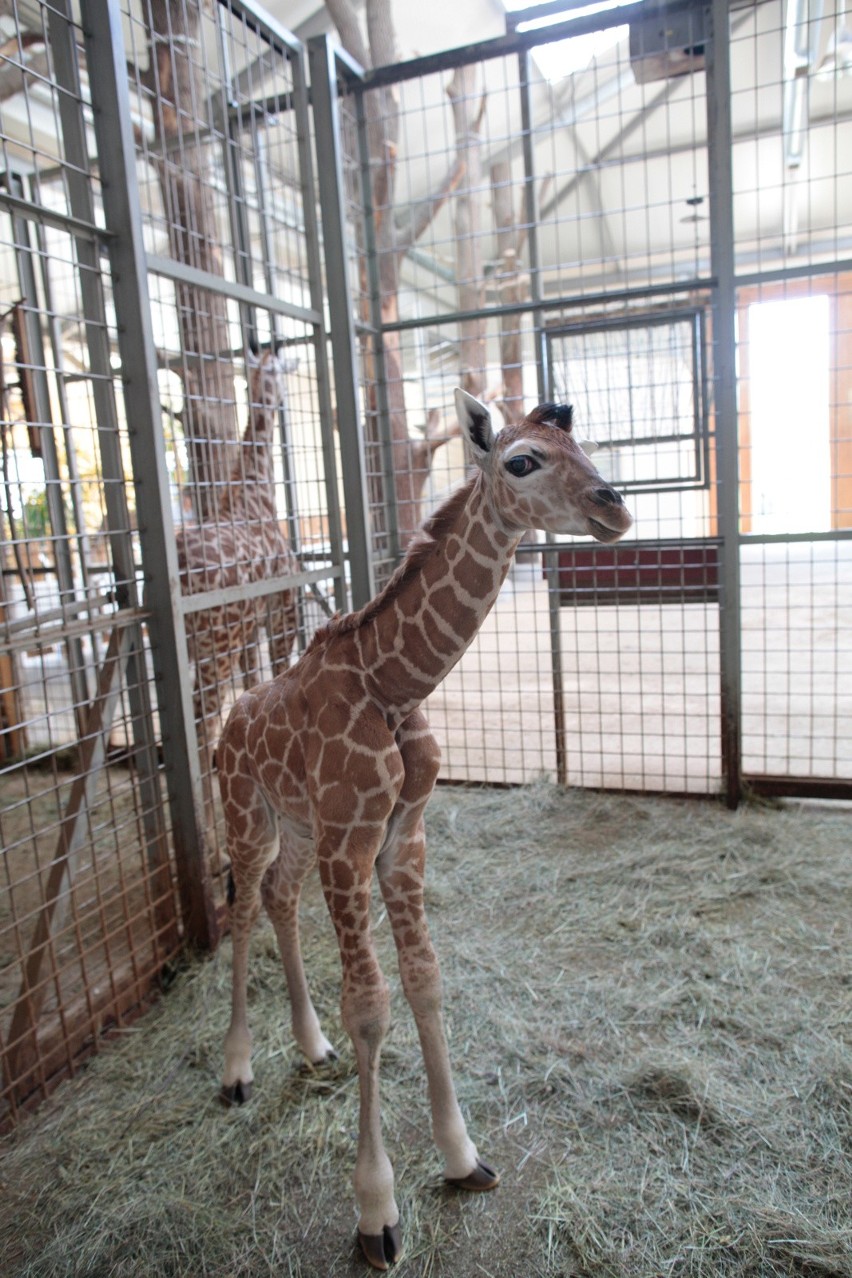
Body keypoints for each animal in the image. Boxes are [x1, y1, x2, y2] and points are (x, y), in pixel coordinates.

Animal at [219, 388, 633, 1267]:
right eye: (522, 460)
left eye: (578, 445)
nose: (613, 507)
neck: (394, 684)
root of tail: (226, 721)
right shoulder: (350, 845)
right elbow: (371, 1005)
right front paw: (377, 1212)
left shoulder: (400, 838)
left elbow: (426, 979)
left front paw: (462, 1157)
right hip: (247, 814)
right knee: (239, 907)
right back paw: (235, 1072)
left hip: (297, 829)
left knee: (275, 897)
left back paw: (310, 1048)